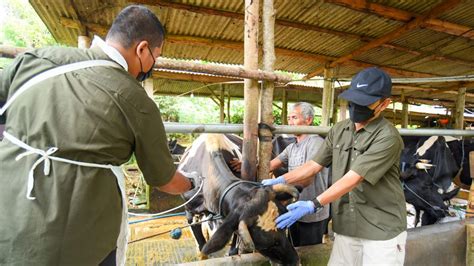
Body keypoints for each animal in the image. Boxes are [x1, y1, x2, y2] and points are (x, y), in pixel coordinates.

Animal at [178, 134, 300, 264]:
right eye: (268, 245)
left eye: (285, 229)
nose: (296, 261)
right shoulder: (190, 212)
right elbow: (201, 249)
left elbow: (233, 246)